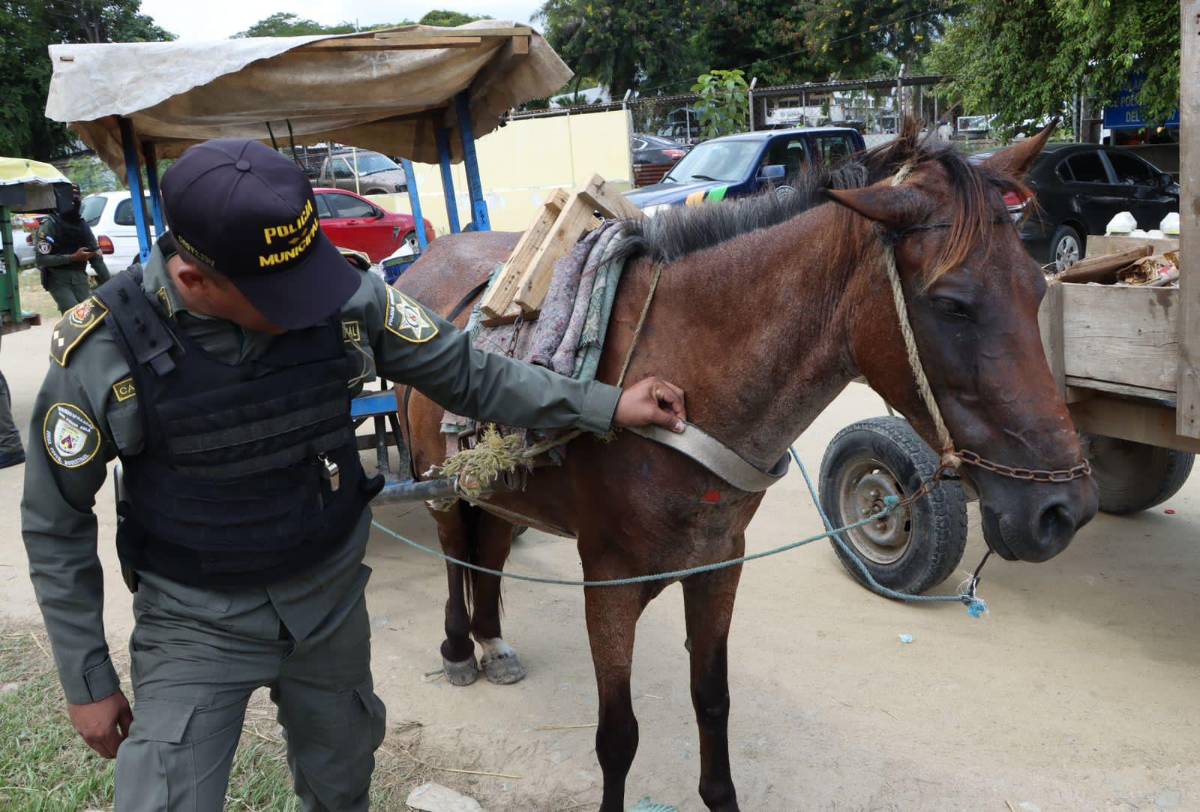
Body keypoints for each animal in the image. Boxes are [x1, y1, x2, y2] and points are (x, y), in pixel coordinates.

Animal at [393, 122, 1099, 811]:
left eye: (1038, 287)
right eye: (953, 304)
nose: (1062, 510)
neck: (680, 378)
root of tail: (425, 264)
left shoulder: (719, 564)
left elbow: (712, 699)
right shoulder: (610, 582)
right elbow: (617, 735)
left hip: (497, 492)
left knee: (490, 549)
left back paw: (492, 641)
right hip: (440, 485)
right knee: (456, 553)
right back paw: (459, 647)